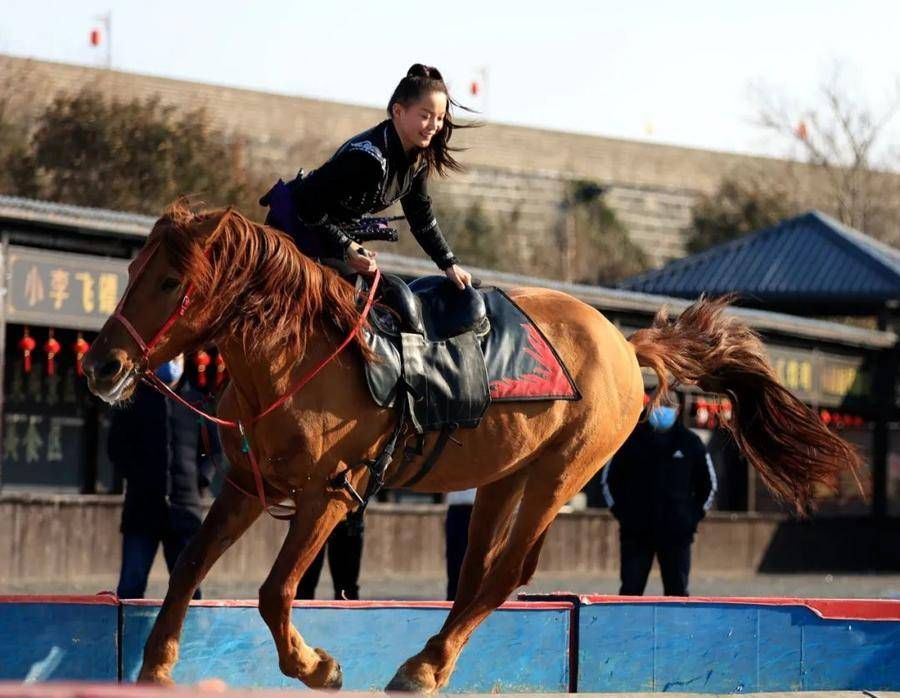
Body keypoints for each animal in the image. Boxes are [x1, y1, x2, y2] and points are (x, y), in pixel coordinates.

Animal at [82, 203, 856, 692]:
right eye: (132, 271)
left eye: (171, 281)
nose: (102, 366)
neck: (297, 355)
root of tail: (620, 342)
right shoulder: (247, 486)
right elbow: (186, 566)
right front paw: (155, 667)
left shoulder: (330, 494)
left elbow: (275, 593)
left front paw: (317, 666)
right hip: (503, 476)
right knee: (479, 571)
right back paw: (427, 662)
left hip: (561, 473)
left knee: (510, 569)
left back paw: (426, 667)